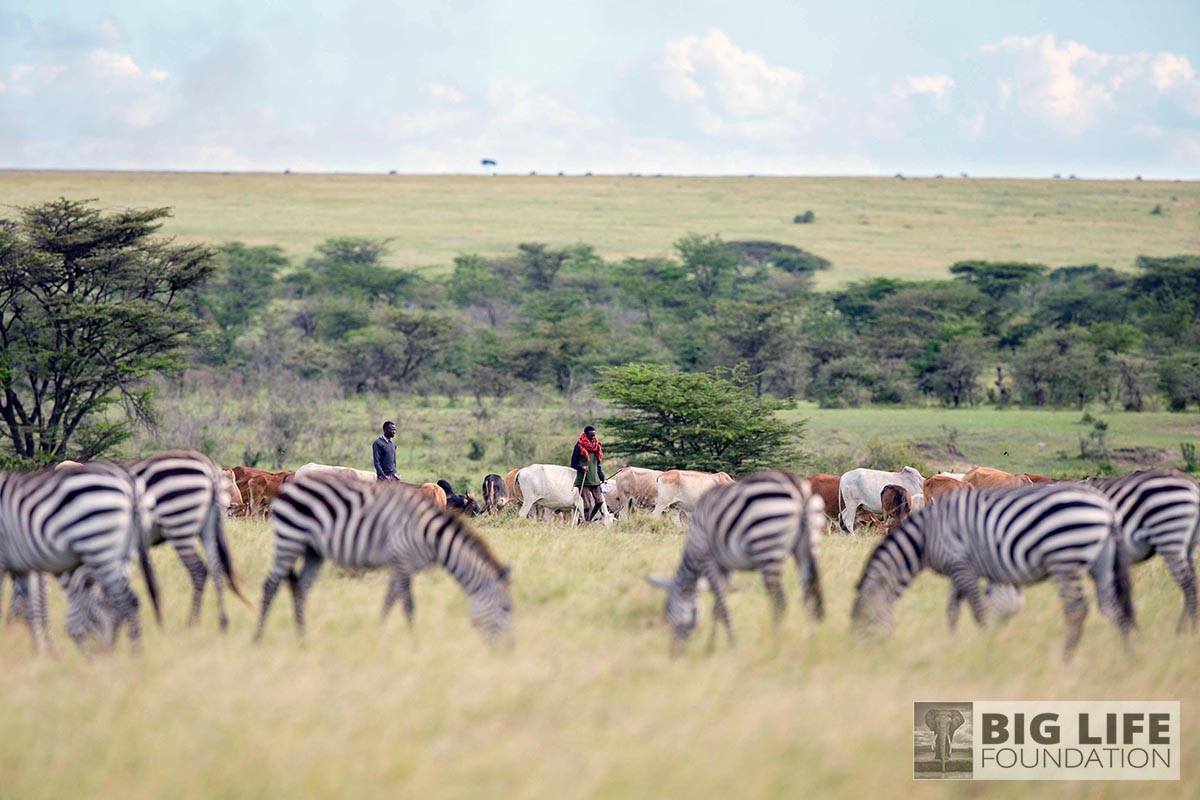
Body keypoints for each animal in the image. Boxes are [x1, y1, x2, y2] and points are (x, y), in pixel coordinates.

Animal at [854, 482, 1132, 662]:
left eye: (865, 621)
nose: (863, 650)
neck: (926, 534)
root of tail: (1107, 511)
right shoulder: (960, 569)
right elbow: (953, 611)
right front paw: (954, 645)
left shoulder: (962, 568)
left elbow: (977, 611)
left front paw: (985, 647)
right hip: (1099, 564)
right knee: (1111, 606)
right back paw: (1127, 655)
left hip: (1066, 561)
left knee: (1077, 610)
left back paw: (1067, 658)